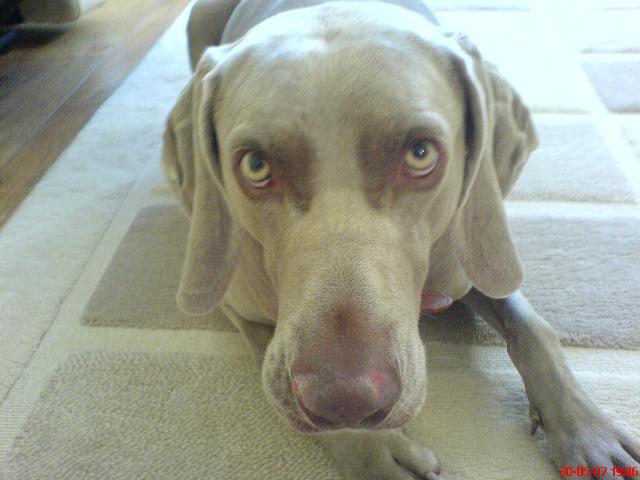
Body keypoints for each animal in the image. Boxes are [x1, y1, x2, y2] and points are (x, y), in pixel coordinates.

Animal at [162, 1, 640, 478]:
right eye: (256, 165)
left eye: (421, 154)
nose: (345, 398)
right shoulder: (240, 305)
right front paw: (373, 451)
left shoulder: (474, 251)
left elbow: (533, 329)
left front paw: (588, 432)